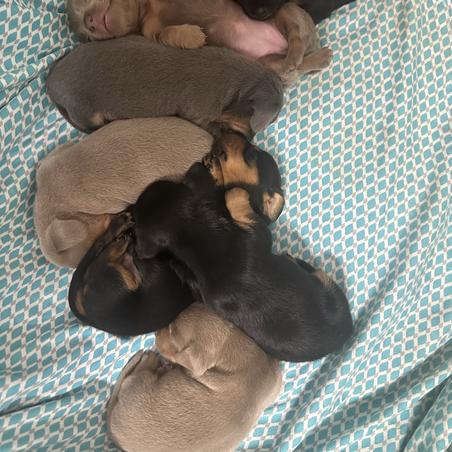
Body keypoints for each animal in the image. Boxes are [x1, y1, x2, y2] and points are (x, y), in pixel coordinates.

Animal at [46, 36, 283, 135]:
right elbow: (210, 126)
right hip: (85, 111)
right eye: (272, 121)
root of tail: (50, 83)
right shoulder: (197, 113)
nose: (252, 139)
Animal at [66, 0, 332, 84]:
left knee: (296, 35)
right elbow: (167, 33)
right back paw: (312, 59)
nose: (90, 23)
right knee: (295, 64)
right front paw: (194, 36)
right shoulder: (151, 34)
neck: (146, 6)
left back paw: (304, 54)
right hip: (265, 62)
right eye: (86, 37)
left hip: (285, 12)